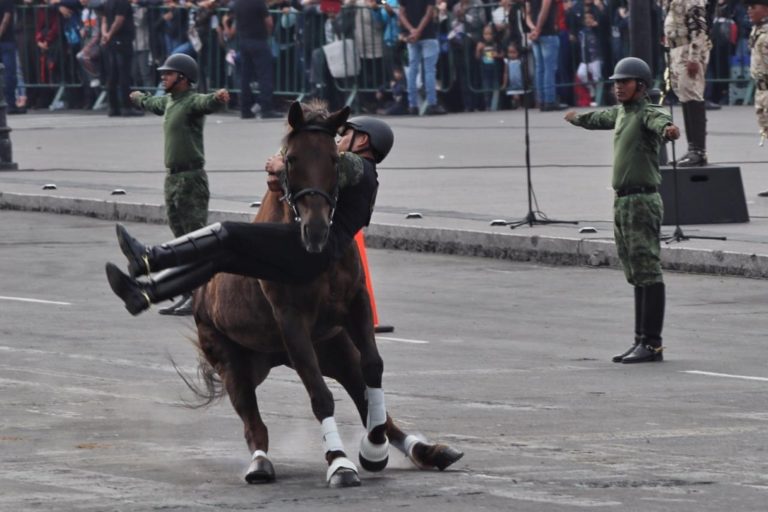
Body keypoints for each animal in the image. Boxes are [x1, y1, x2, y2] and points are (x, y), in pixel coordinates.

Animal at [186, 101, 463, 488]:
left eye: (334, 158)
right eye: (291, 159)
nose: (315, 230)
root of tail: (198, 297)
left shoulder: (357, 304)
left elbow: (373, 368)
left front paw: (372, 449)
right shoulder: (291, 322)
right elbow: (320, 396)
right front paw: (340, 463)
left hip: (334, 350)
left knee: (365, 394)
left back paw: (424, 450)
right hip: (233, 362)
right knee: (253, 423)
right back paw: (260, 464)